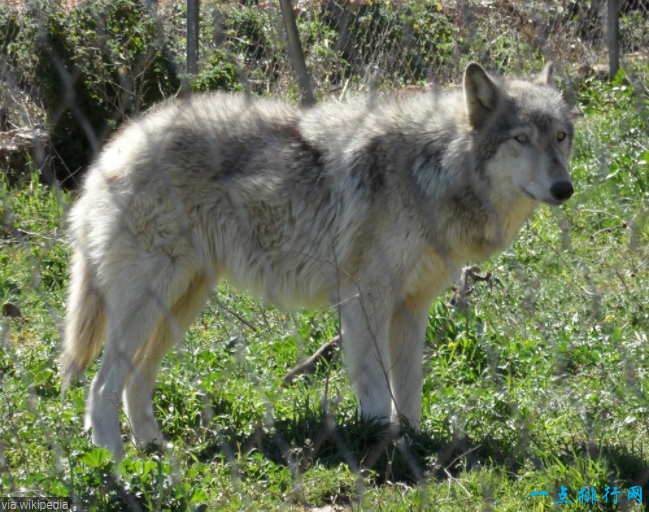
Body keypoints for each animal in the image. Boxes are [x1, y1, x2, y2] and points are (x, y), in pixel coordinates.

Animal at [63, 62, 576, 458]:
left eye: (560, 137)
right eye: (521, 139)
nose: (564, 188)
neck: (436, 169)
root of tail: (116, 147)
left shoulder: (413, 306)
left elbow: (410, 390)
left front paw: (413, 444)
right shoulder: (366, 299)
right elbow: (376, 389)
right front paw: (382, 447)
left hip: (182, 302)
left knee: (134, 383)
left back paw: (154, 451)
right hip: (151, 300)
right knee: (100, 386)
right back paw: (116, 464)